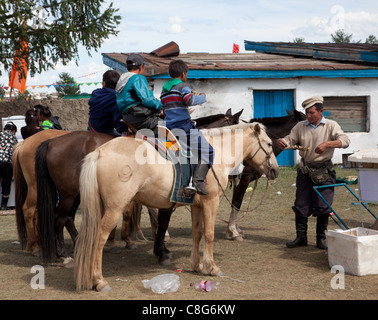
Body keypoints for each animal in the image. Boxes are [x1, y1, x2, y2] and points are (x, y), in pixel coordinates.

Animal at [75, 122, 280, 292]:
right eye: (269, 144)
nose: (275, 170)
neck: (218, 153)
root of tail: (99, 152)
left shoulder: (197, 205)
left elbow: (197, 234)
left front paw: (197, 265)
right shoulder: (211, 202)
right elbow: (209, 234)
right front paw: (212, 267)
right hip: (114, 209)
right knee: (99, 239)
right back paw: (99, 281)